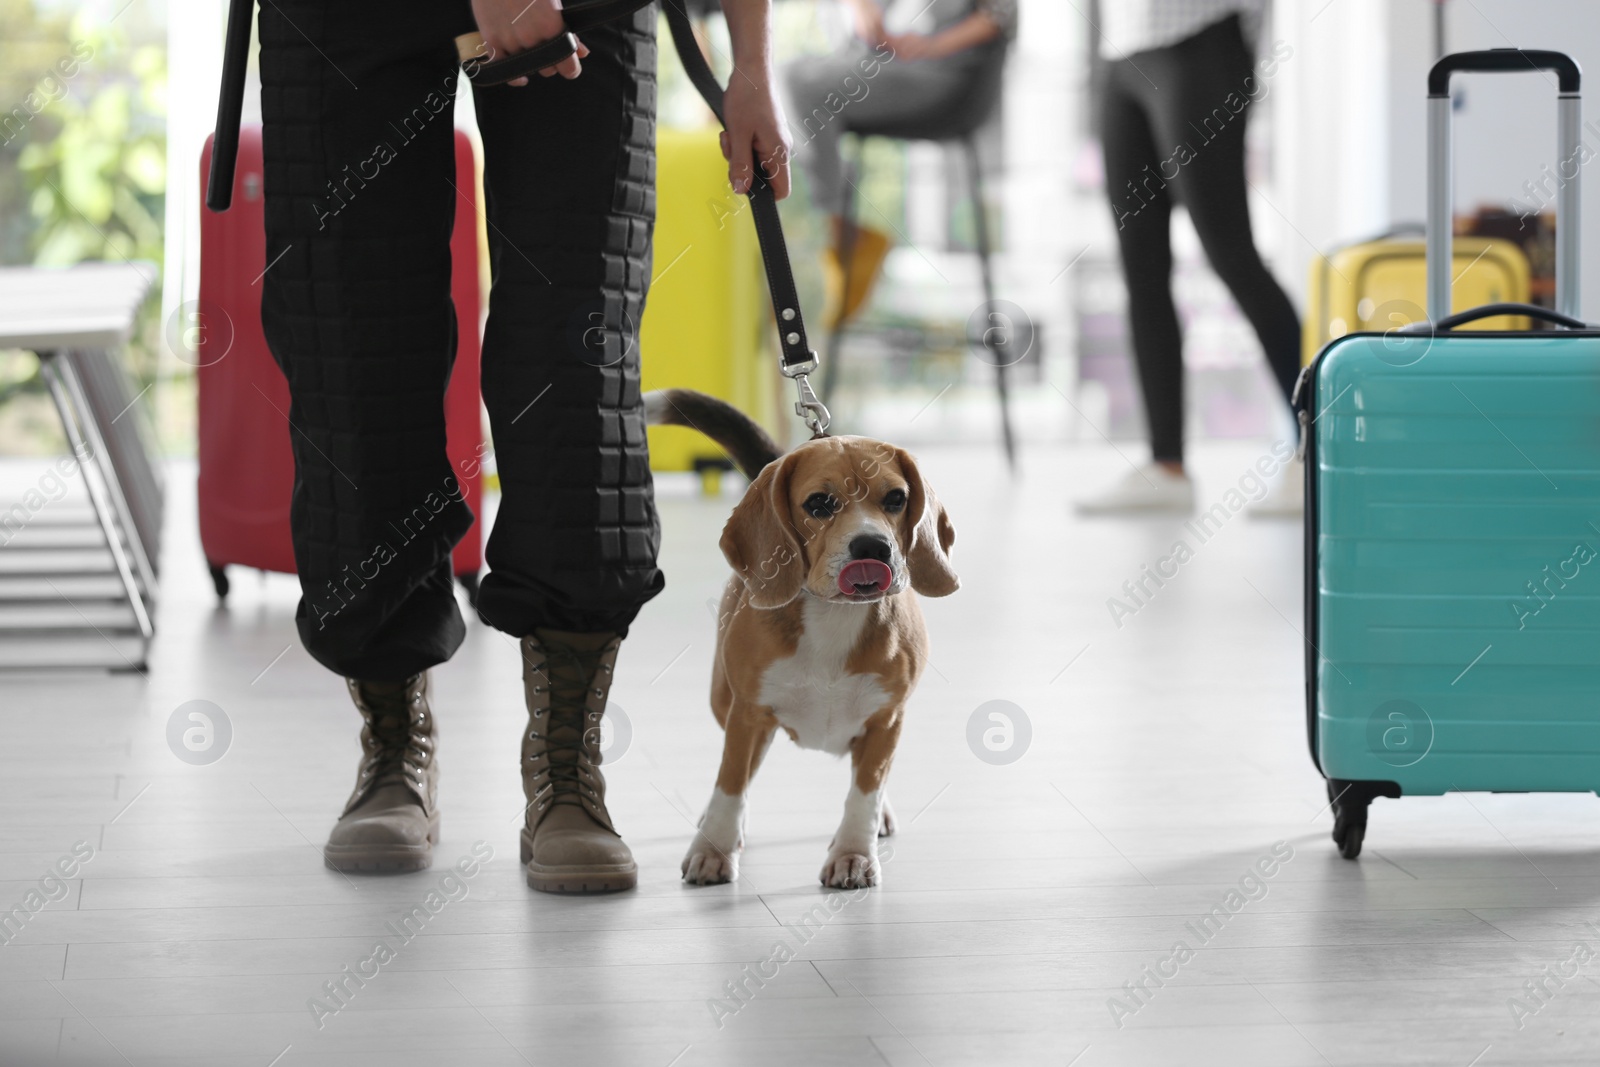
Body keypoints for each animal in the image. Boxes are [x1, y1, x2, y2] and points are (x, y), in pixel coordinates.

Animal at [643, 388, 953, 889]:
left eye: (896, 498)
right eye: (819, 504)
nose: (873, 547)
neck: (833, 616)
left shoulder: (887, 719)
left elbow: (865, 792)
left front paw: (853, 853)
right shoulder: (747, 715)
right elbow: (731, 784)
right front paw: (713, 850)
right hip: (722, 701)